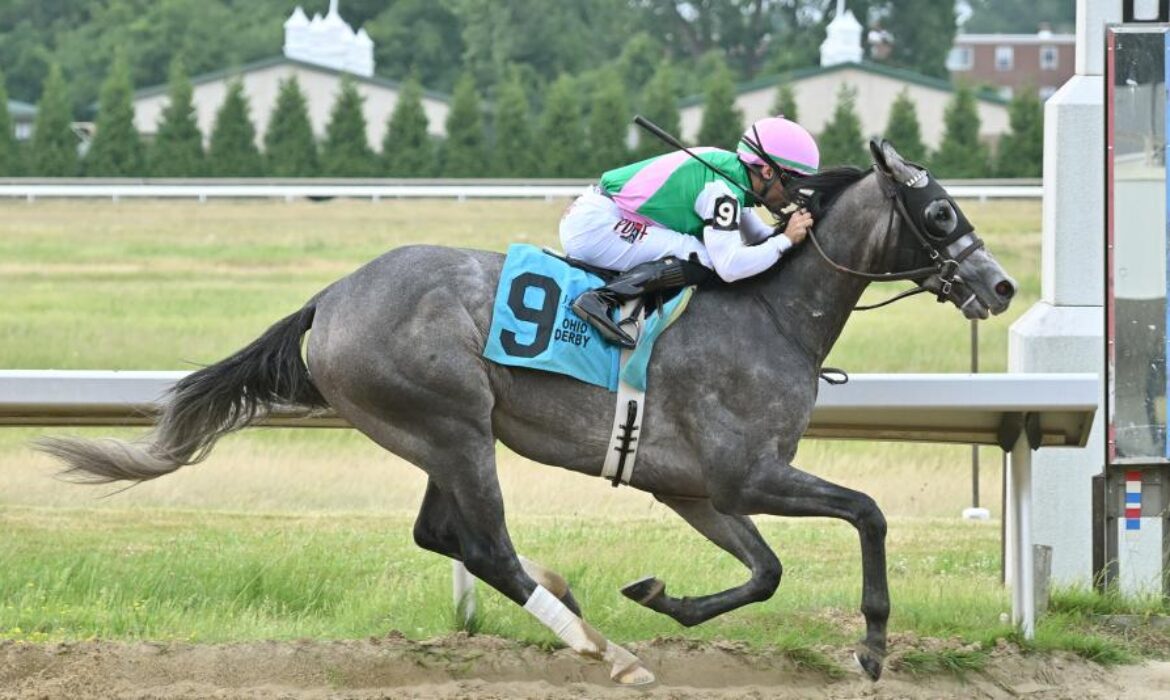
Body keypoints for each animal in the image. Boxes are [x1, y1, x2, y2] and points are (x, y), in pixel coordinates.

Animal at [38, 141, 1015, 683]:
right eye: (939, 211)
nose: (1001, 286)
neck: (770, 314)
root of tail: (330, 298)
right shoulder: (749, 473)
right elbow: (867, 513)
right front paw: (874, 645)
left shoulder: (695, 488)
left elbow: (766, 571)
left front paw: (659, 595)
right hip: (453, 425)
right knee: (485, 547)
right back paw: (605, 651)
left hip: (436, 436)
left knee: (445, 536)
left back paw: (579, 605)